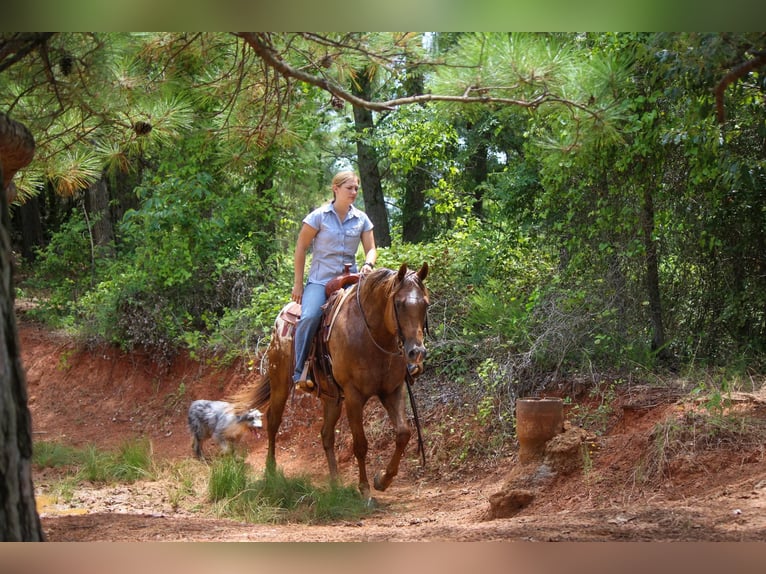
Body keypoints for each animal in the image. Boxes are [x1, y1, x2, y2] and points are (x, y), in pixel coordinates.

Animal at [234, 264, 428, 498]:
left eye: (425, 304)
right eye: (398, 304)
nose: (416, 352)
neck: (373, 336)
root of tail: (281, 316)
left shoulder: (392, 390)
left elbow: (403, 434)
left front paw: (382, 480)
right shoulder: (354, 396)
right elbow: (360, 444)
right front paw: (365, 490)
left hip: (331, 398)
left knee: (326, 434)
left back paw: (335, 482)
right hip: (280, 382)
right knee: (273, 421)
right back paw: (270, 471)